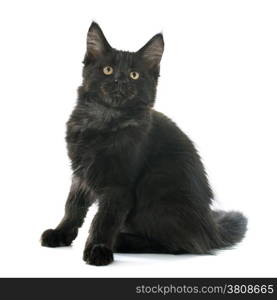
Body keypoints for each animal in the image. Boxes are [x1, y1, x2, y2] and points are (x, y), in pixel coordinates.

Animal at [40, 22, 246, 266]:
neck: (104, 122)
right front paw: (60, 233)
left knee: (181, 245)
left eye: (134, 75)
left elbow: (103, 220)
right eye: (107, 70)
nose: (120, 80)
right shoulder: (81, 174)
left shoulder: (119, 186)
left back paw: (122, 241)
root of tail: (211, 229)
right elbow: (73, 207)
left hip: (158, 193)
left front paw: (98, 249)